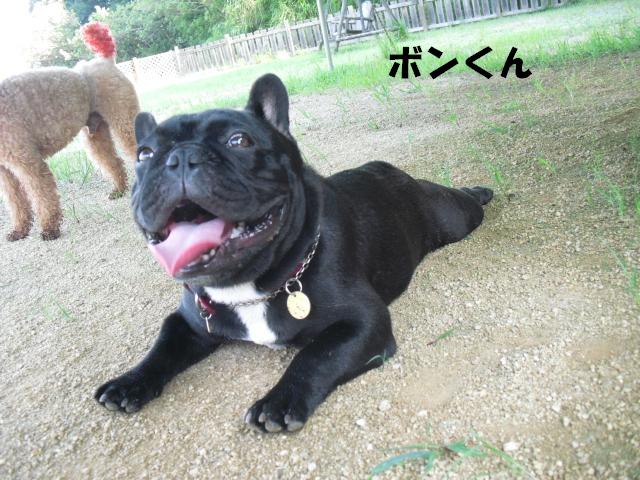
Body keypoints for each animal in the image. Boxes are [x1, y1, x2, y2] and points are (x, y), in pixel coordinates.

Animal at [0, 22, 139, 241]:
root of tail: (104, 60)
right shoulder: (5, 171)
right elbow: (16, 202)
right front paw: (19, 230)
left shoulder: (28, 164)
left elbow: (43, 196)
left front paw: (49, 228)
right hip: (96, 135)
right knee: (113, 161)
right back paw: (118, 190)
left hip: (124, 121)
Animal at [95, 74, 493, 433]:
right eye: (144, 154)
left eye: (239, 140)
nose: (179, 157)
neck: (247, 287)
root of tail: (385, 167)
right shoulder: (189, 322)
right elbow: (162, 347)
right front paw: (128, 382)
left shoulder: (363, 321)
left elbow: (315, 356)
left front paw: (279, 402)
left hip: (453, 217)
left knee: (463, 202)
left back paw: (480, 191)